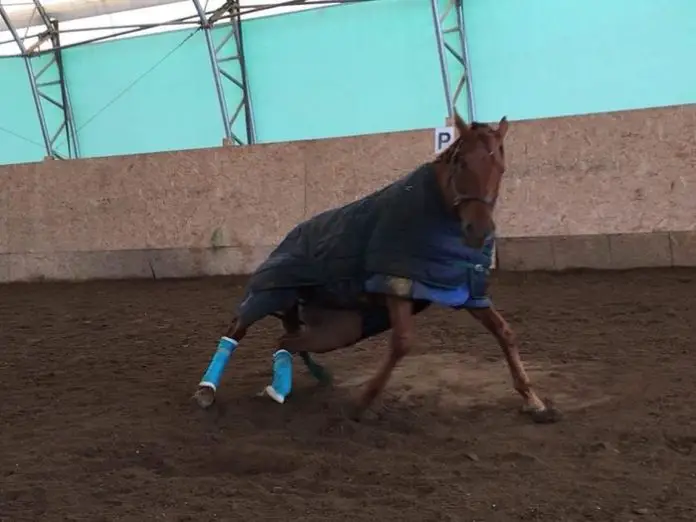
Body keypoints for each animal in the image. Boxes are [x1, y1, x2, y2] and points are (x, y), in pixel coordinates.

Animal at [192, 112, 560, 424]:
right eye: (461, 162)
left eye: (500, 166)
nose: (479, 230)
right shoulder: (396, 285)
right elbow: (402, 344)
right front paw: (362, 403)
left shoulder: (467, 291)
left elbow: (504, 332)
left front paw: (533, 401)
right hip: (271, 292)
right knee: (238, 328)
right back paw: (207, 390)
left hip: (340, 328)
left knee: (286, 340)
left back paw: (287, 385)